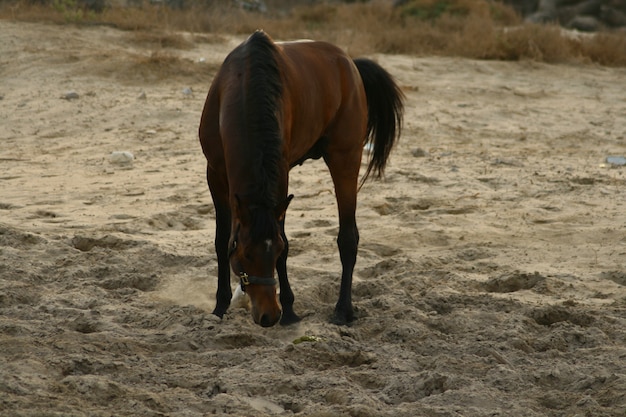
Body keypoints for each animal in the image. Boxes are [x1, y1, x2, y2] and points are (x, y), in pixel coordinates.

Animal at [200, 30, 404, 326]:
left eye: (273, 251)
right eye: (245, 254)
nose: (269, 316)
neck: (245, 83)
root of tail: (348, 62)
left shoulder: (280, 178)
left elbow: (285, 240)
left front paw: (289, 310)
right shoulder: (214, 173)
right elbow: (221, 240)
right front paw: (220, 306)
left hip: (345, 158)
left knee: (348, 237)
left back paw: (343, 309)